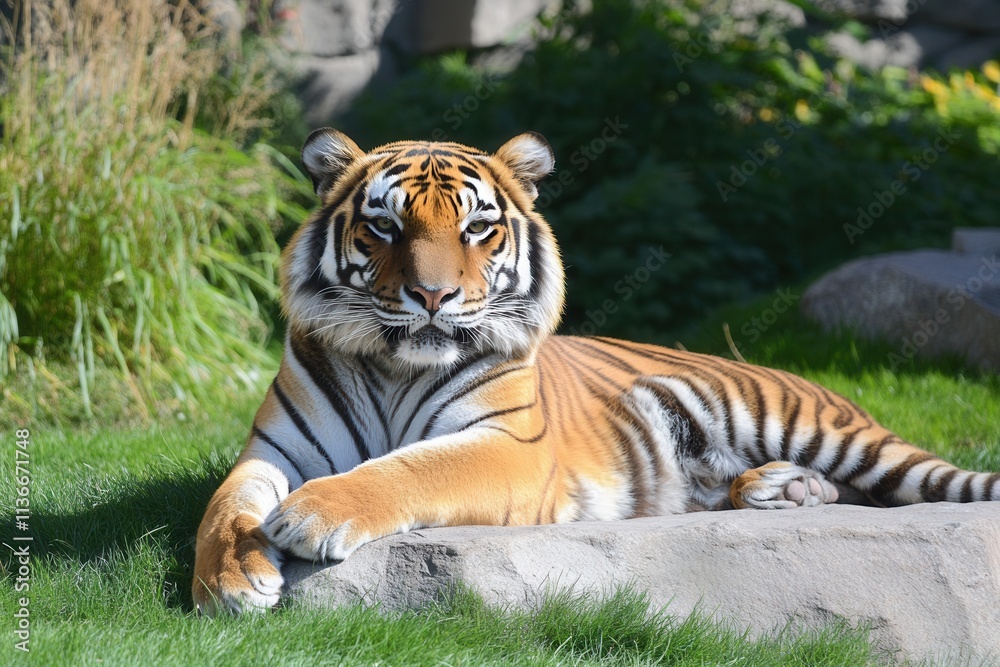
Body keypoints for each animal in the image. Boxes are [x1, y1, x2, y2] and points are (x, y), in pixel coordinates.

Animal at [192, 128, 1000, 615]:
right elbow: (225, 506)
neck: (395, 368)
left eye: (477, 228)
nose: (432, 296)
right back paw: (782, 489)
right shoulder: (274, 450)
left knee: (919, 484)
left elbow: (411, 468)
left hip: (813, 425)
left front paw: (311, 515)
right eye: (384, 226)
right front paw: (231, 579)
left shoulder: (508, 449)